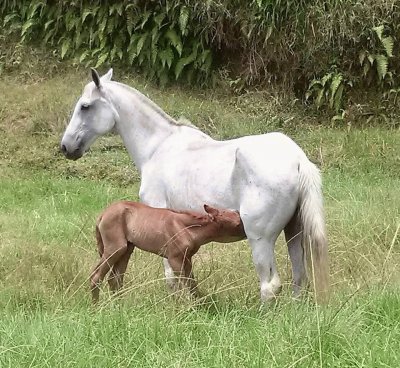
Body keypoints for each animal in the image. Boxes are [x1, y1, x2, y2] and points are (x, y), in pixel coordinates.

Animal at [90, 201, 245, 302]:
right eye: (238, 223)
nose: (247, 232)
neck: (188, 229)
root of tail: (102, 215)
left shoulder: (187, 258)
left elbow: (192, 284)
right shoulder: (174, 258)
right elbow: (182, 285)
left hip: (127, 249)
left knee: (114, 279)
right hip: (115, 247)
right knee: (96, 276)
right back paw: (96, 307)